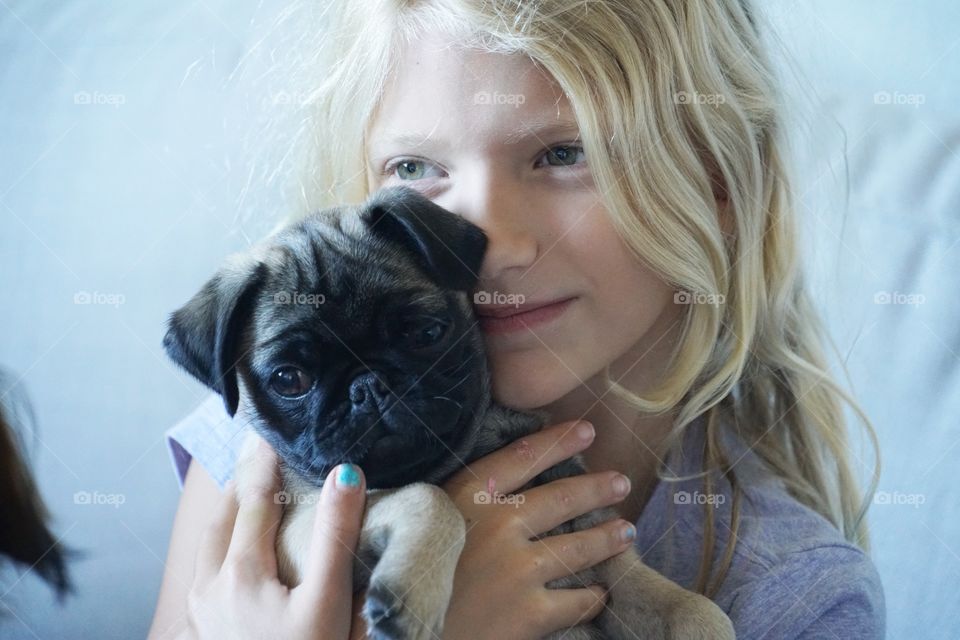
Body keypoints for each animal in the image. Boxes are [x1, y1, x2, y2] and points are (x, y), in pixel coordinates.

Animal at [163, 185, 736, 640]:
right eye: (289, 380)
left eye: (426, 333)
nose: (368, 385)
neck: (460, 456)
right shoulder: (302, 529)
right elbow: (427, 497)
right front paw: (412, 593)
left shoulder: (602, 558)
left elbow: (696, 611)